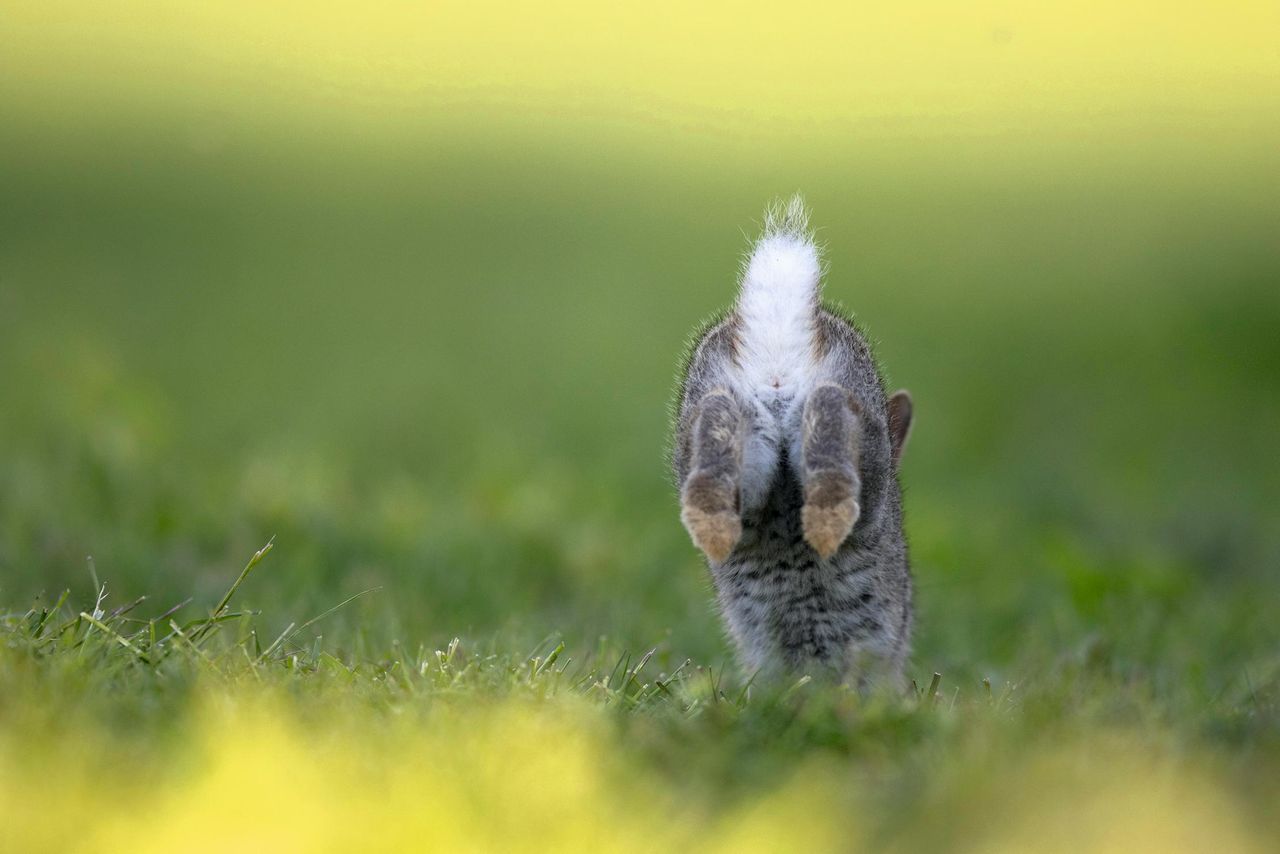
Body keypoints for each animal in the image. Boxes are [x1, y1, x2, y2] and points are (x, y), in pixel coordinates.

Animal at [675, 198, 916, 686]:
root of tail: (777, 351)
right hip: (861, 440)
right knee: (831, 406)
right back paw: (827, 524)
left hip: (735, 424)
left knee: (717, 419)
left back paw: (714, 527)